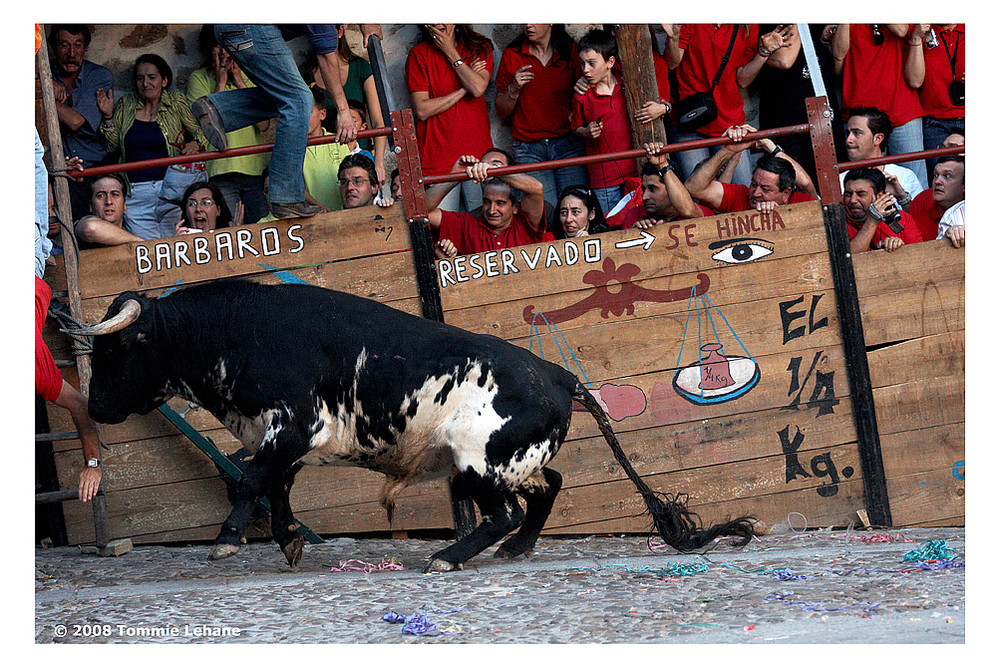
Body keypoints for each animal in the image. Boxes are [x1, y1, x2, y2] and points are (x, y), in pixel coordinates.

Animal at [76, 280, 752, 572]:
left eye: (115, 349)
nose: (95, 406)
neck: (228, 331)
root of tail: (556, 375)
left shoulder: (291, 426)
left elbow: (249, 481)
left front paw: (226, 538)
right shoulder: (282, 439)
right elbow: (272, 485)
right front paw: (288, 539)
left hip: (476, 457)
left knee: (506, 509)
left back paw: (449, 556)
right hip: (505, 461)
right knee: (546, 488)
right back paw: (515, 549)